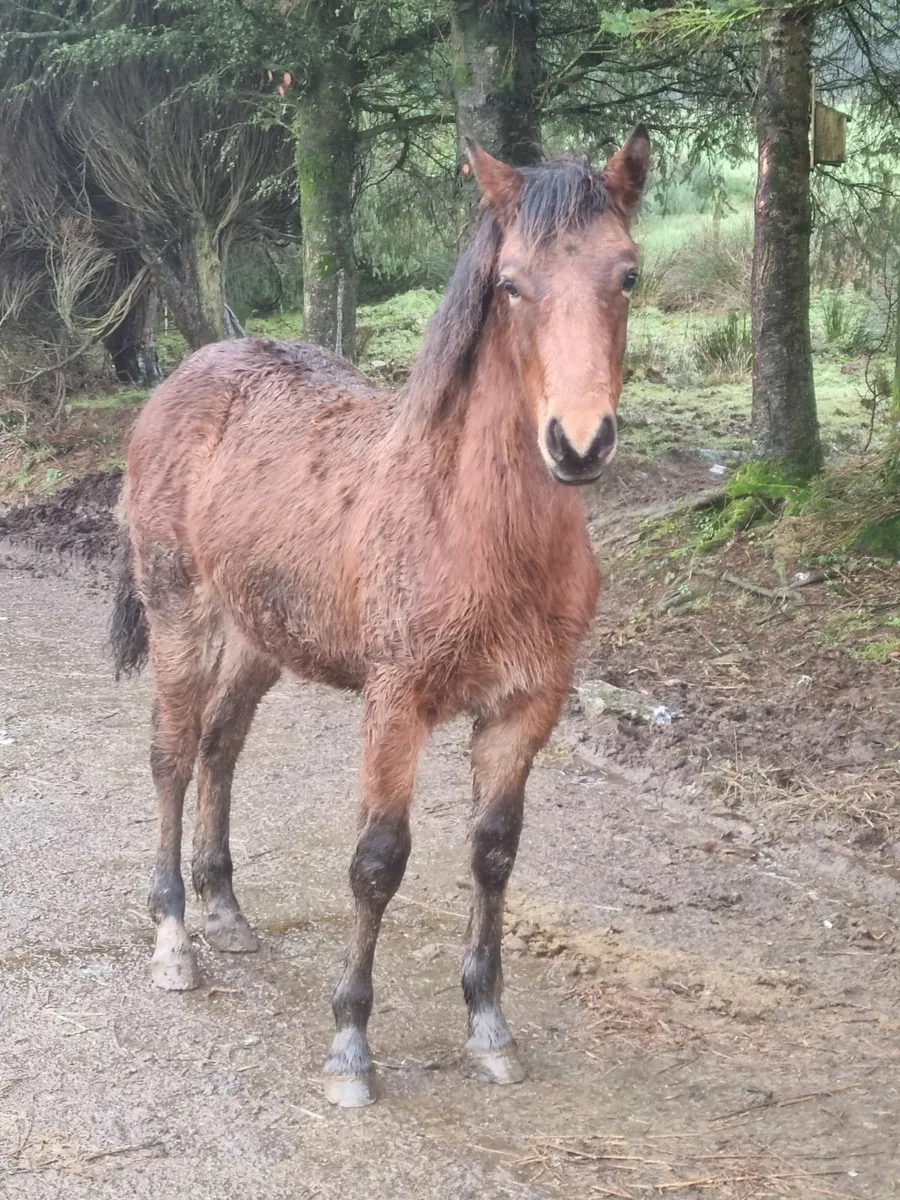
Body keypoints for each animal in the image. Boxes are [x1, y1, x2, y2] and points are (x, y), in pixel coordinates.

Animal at [110, 127, 650, 1107]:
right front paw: (351, 1045)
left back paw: (225, 910)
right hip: (180, 615)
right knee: (171, 753)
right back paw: (173, 938)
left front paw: (489, 1026)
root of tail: (187, 373)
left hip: (263, 634)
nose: (580, 442)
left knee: (220, 744)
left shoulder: (526, 706)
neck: (475, 526)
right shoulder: (396, 702)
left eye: (627, 274)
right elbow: (377, 861)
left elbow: (495, 852)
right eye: (511, 283)